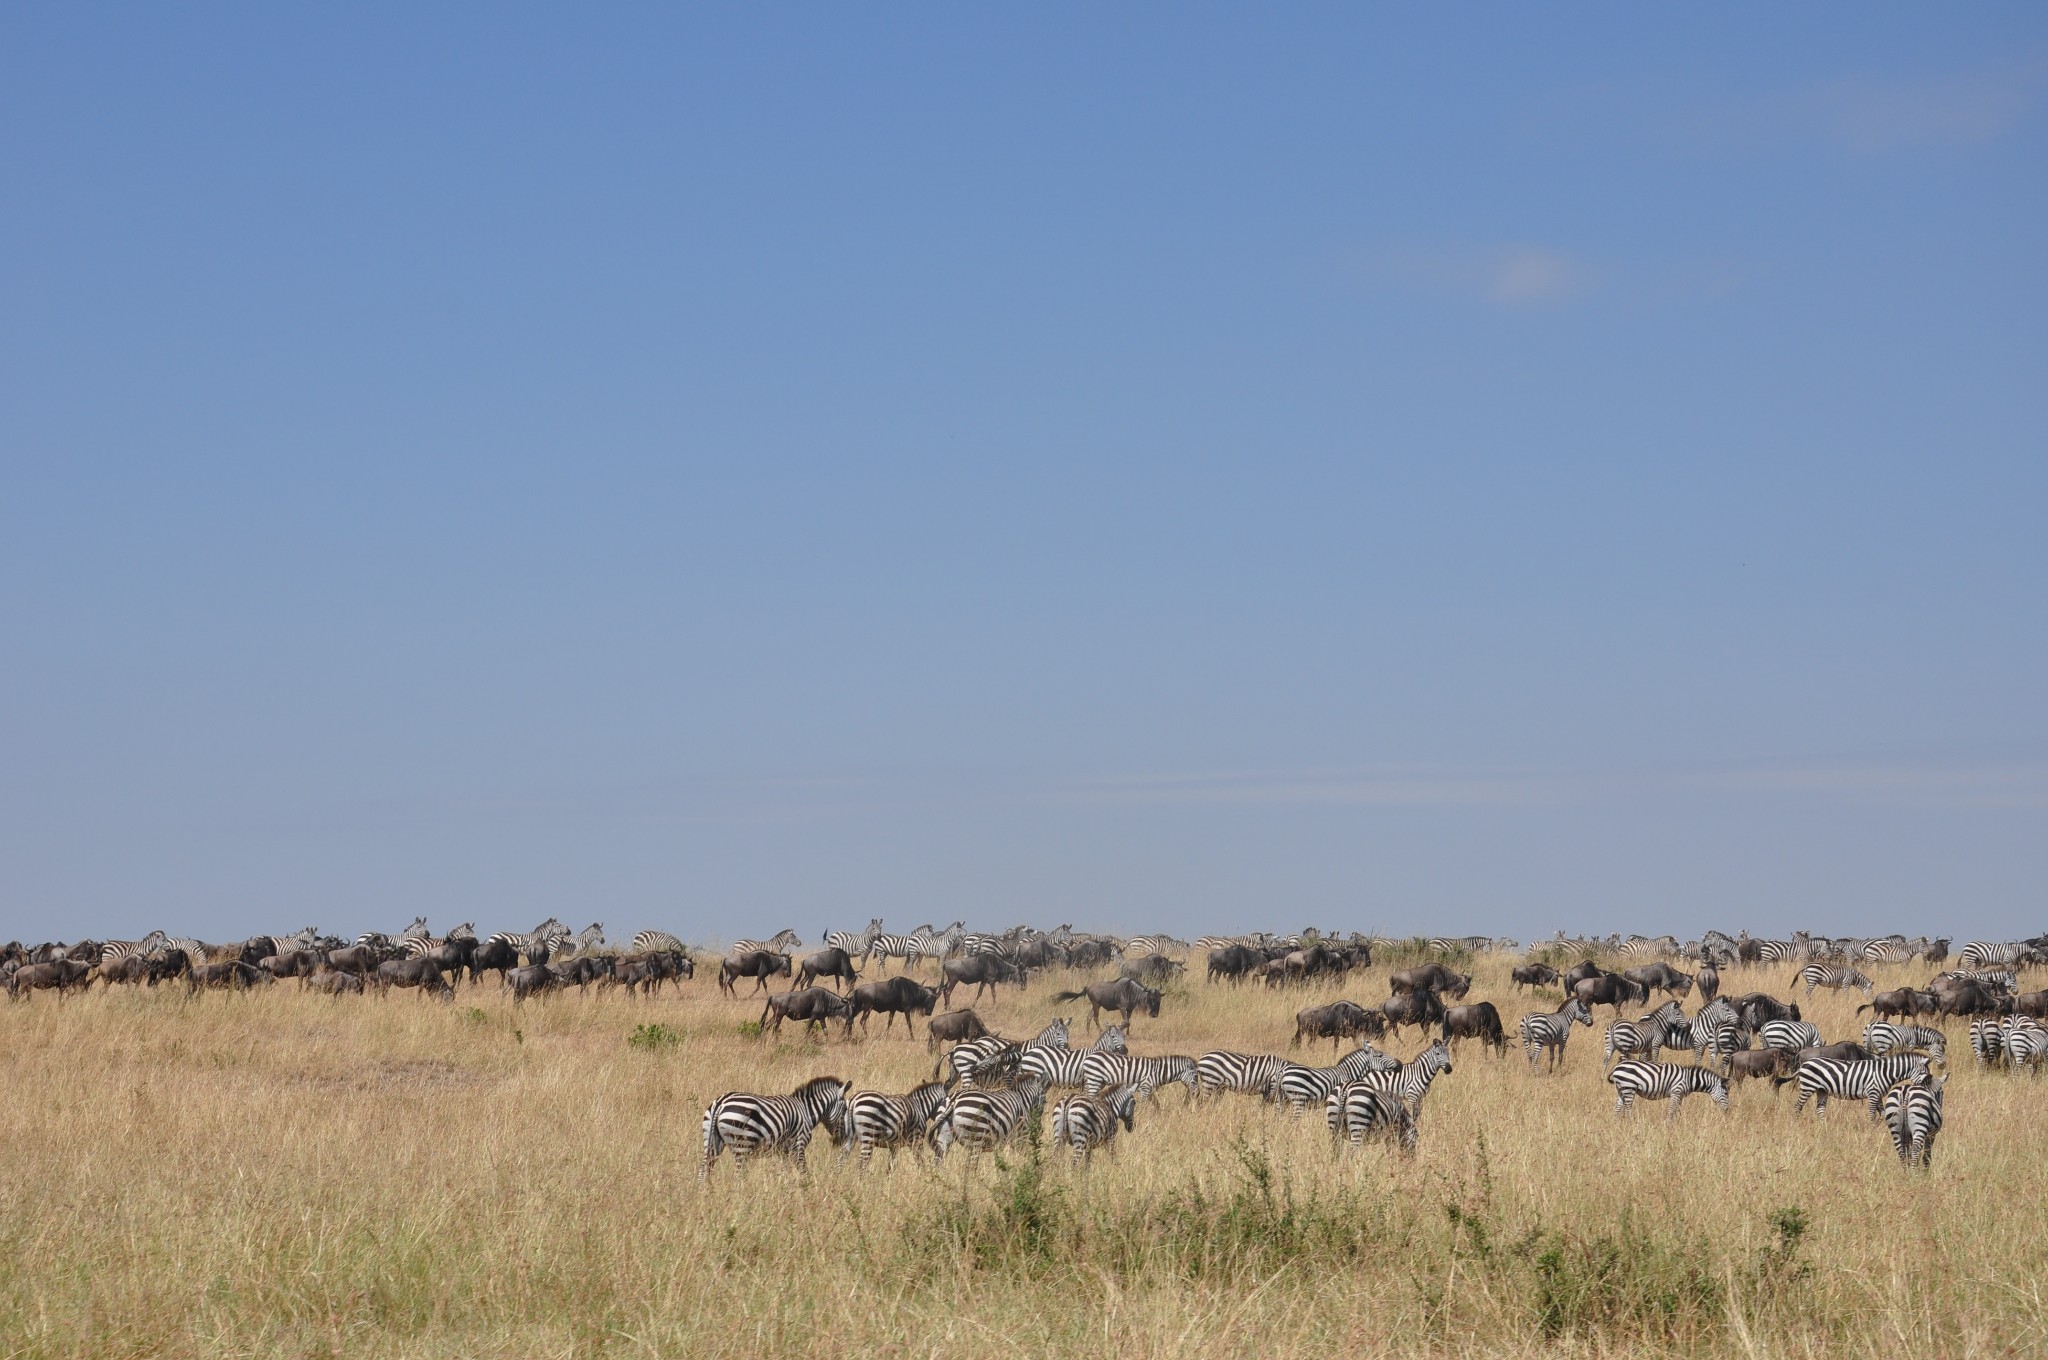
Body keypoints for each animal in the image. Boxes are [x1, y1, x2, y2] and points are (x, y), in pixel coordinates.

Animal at [692, 1073, 843, 1179]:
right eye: (845, 1109)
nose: (838, 1141)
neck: (806, 1110)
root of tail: (721, 1103)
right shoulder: (798, 1145)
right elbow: (804, 1171)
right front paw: (806, 1189)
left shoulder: (783, 1151)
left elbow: (785, 1173)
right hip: (742, 1144)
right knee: (738, 1175)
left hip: (712, 1140)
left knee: (703, 1171)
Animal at [1269, 1044, 1400, 1114]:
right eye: (1380, 1055)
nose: (1399, 1063)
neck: (1347, 1072)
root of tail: (1283, 1071)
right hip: (1298, 1098)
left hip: (1280, 1099)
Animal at [1605, 1065, 1736, 1114]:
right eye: (1726, 1093)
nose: (1727, 1110)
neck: (1689, 1079)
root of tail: (1616, 1068)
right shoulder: (1676, 1092)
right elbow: (1671, 1110)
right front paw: (1668, 1126)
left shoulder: (1680, 1095)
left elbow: (1677, 1110)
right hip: (1629, 1088)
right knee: (1627, 1110)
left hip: (1621, 1089)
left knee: (1616, 1109)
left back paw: (1618, 1126)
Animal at [1777, 1056, 1933, 1122]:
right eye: (1926, 1075)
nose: (1928, 1094)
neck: (1885, 1072)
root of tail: (1804, 1064)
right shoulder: (1873, 1092)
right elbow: (1872, 1114)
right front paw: (1871, 1128)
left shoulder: (1878, 1094)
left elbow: (1883, 1113)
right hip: (1808, 1087)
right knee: (1798, 1106)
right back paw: (1795, 1123)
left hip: (1822, 1090)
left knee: (1819, 1110)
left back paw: (1823, 1127)